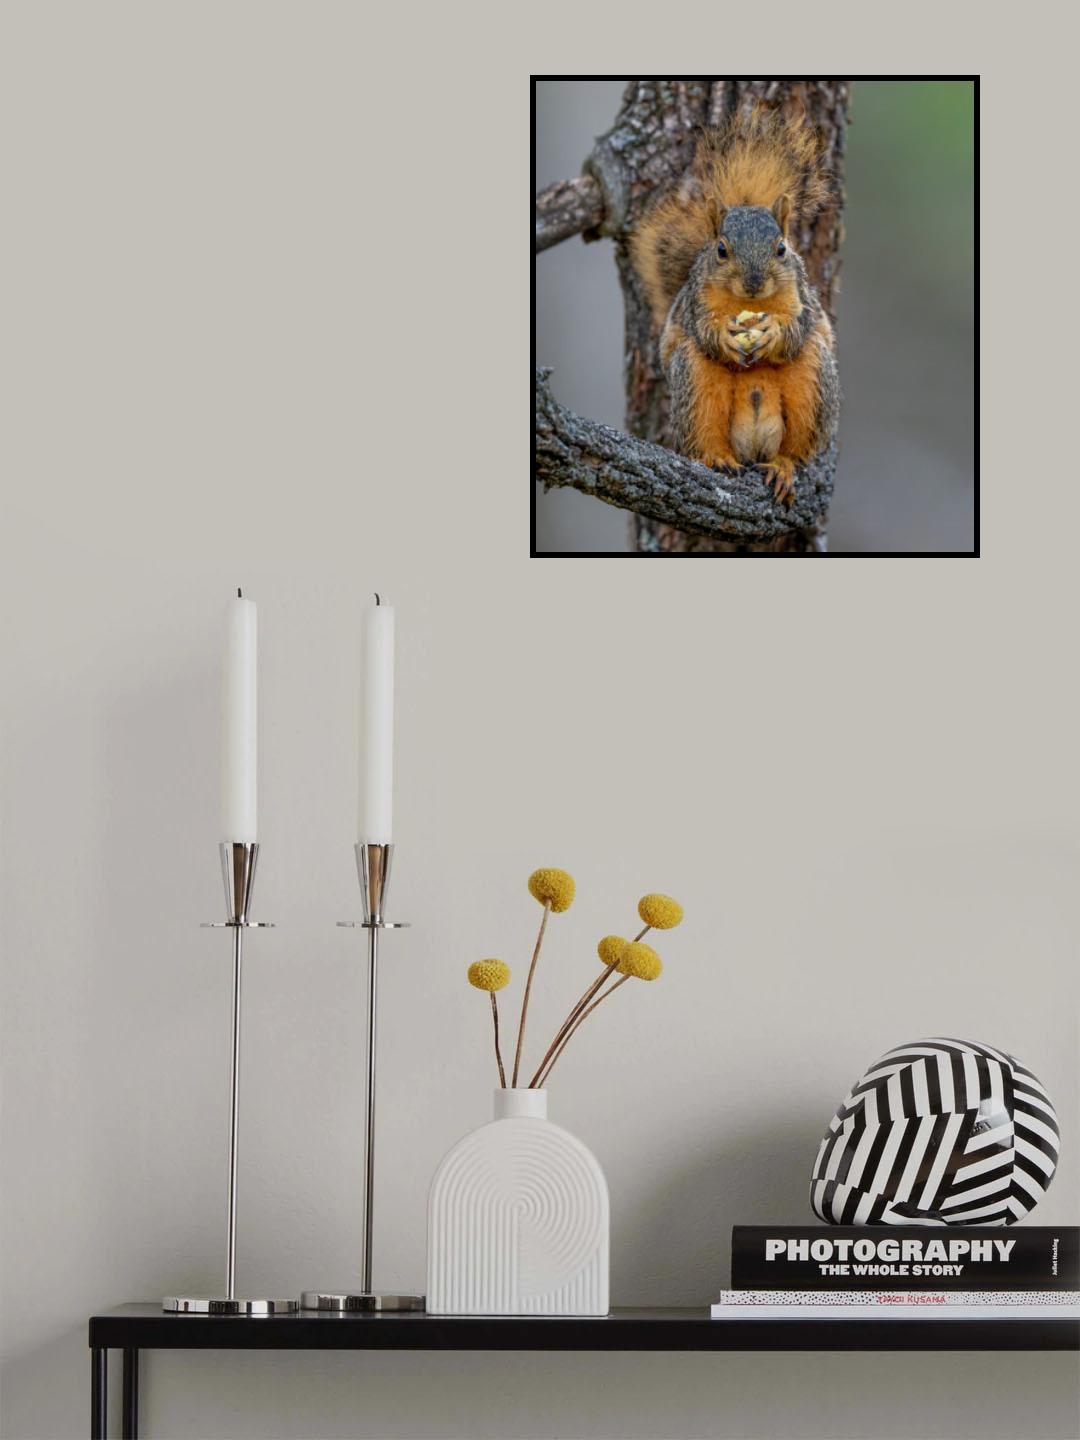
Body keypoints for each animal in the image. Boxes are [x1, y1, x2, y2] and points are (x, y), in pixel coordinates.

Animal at [630, 106, 840, 505]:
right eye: (721, 250)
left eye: (782, 248)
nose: (754, 283)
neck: (747, 302)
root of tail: (752, 447)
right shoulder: (695, 303)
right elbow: (703, 330)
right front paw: (725, 336)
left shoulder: (803, 300)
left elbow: (797, 328)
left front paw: (773, 332)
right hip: (695, 380)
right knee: (704, 430)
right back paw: (718, 458)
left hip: (813, 378)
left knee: (795, 447)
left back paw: (782, 467)